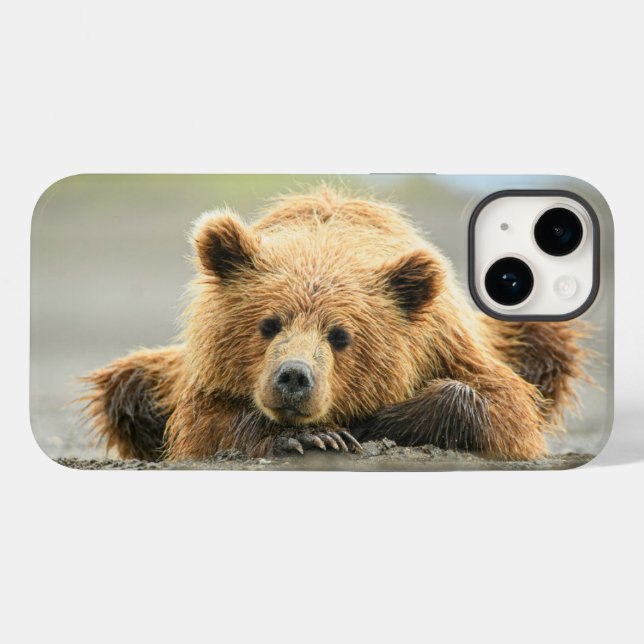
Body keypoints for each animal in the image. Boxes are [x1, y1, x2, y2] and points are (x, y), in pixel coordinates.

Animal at [80, 187, 589, 462]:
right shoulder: (202, 377)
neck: (327, 241)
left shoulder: (448, 343)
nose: (293, 377)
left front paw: (372, 422)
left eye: (341, 335)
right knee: (127, 386)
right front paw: (312, 435)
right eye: (269, 323)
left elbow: (503, 407)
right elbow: (203, 425)